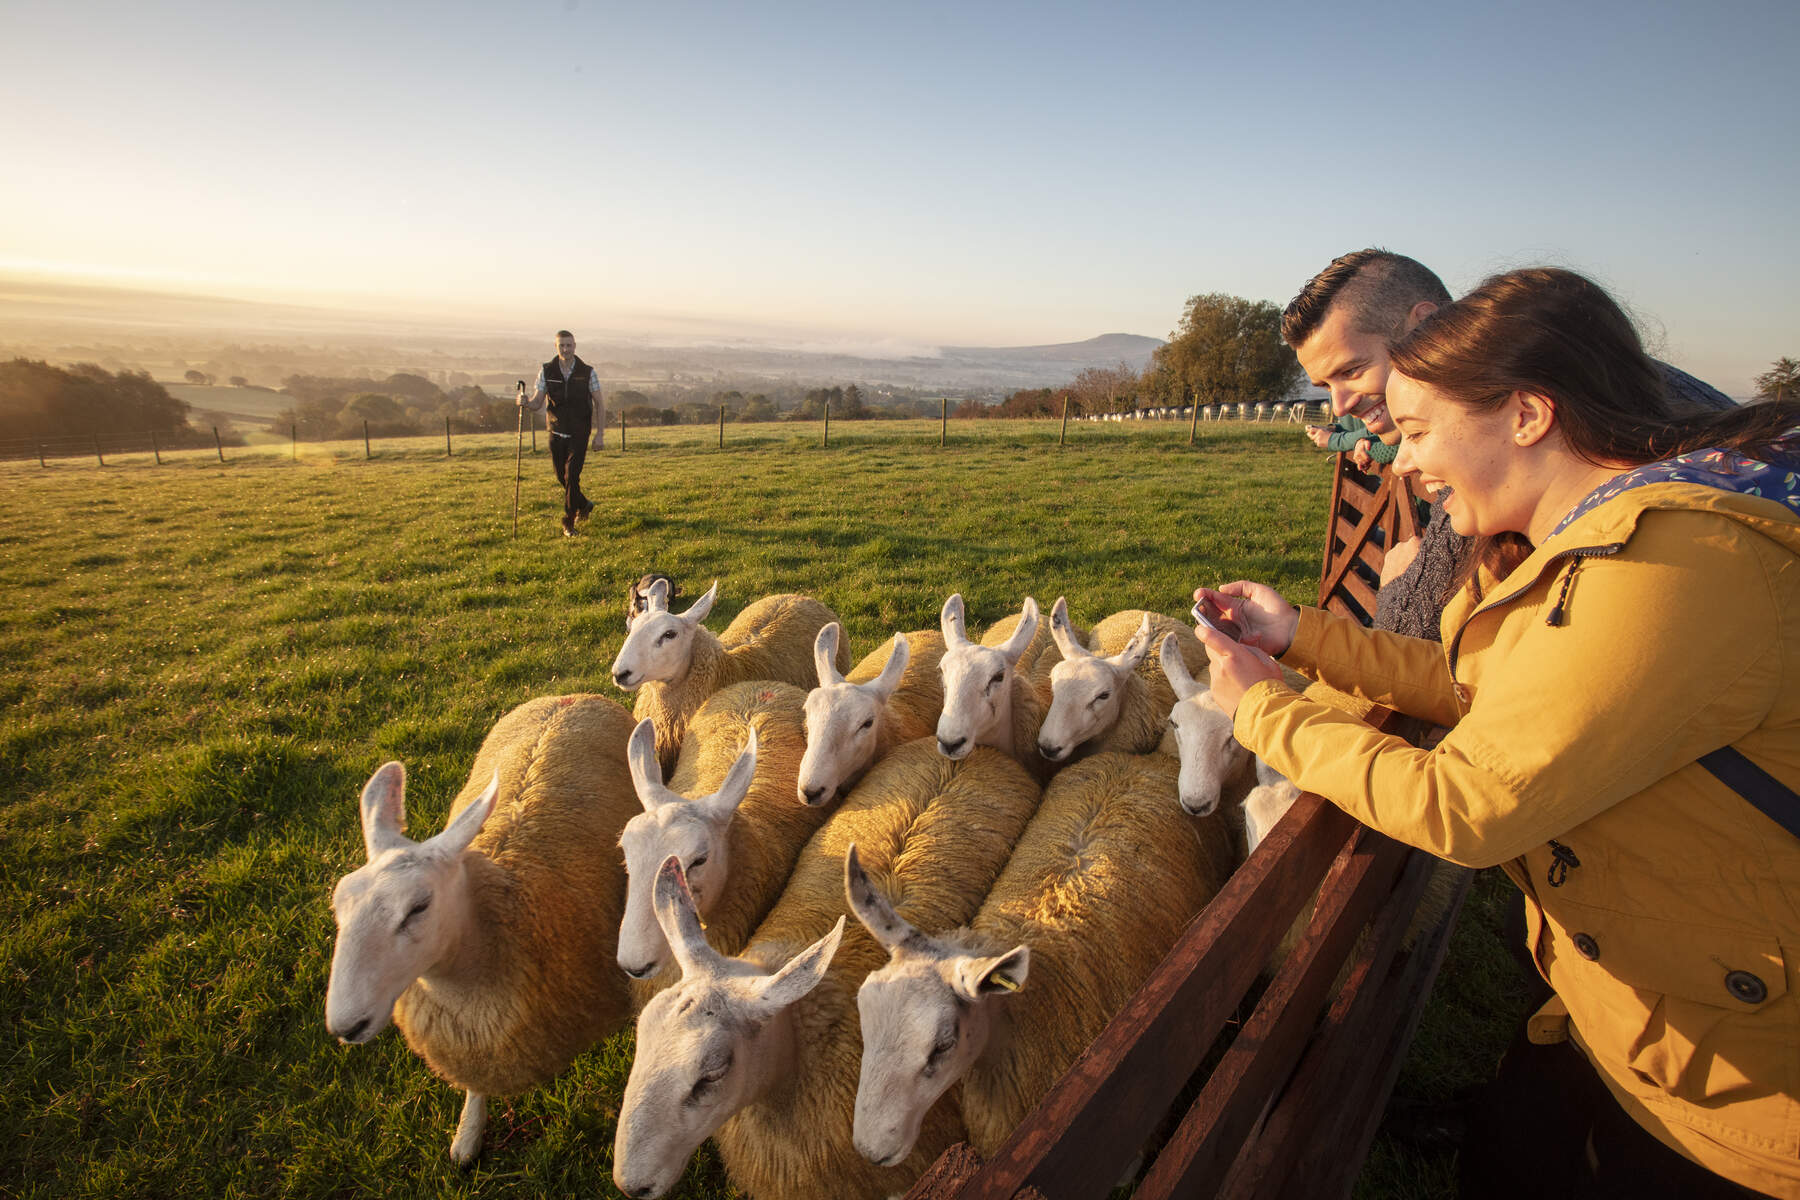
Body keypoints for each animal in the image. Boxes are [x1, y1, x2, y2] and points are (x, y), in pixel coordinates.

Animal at [324, 694, 639, 1165]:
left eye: (418, 907)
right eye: (339, 906)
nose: (345, 1024)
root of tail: (568, 696)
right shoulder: (472, 1043)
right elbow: (475, 1087)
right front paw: (468, 1135)